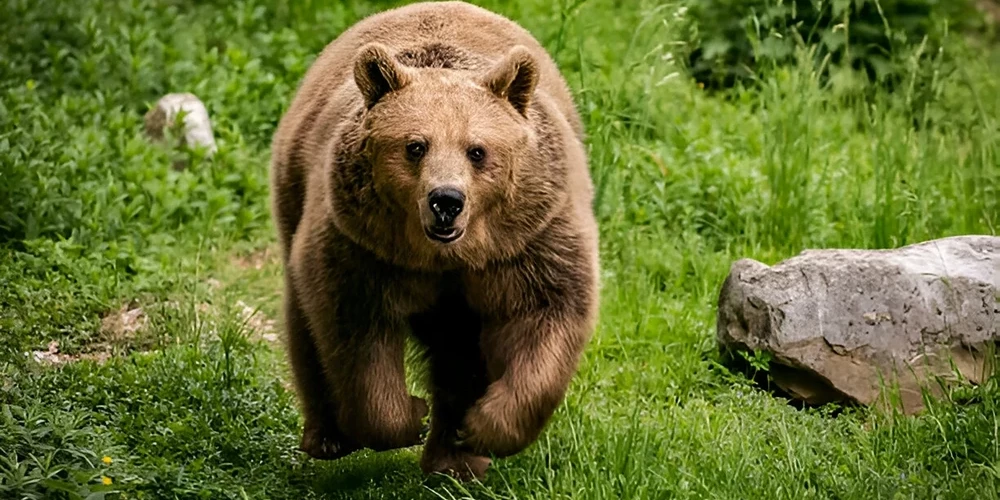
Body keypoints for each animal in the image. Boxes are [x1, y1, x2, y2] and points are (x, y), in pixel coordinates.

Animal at [268, 0, 600, 480]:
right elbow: (356, 332)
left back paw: (455, 459)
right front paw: (410, 414)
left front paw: (482, 426)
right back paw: (329, 437)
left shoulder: (527, 241)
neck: (446, 256)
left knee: (459, 352)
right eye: (415, 146)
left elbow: (546, 313)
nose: (446, 201)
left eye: (477, 150)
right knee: (305, 325)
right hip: (296, 193)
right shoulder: (364, 246)